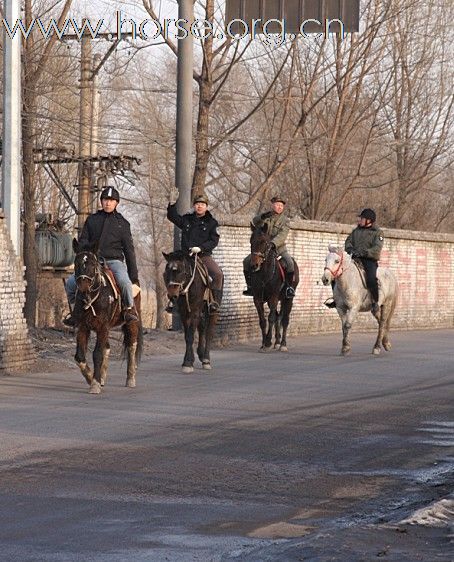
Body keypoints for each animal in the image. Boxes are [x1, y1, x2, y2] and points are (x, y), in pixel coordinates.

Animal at [72, 238, 142, 392]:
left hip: (131, 323)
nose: (83, 288)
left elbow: (97, 354)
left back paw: (131, 378)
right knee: (107, 348)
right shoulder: (83, 327)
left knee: (131, 346)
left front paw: (95, 384)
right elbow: (80, 356)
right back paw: (102, 377)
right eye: (76, 263)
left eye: (92, 264)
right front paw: (91, 377)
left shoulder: (102, 327)